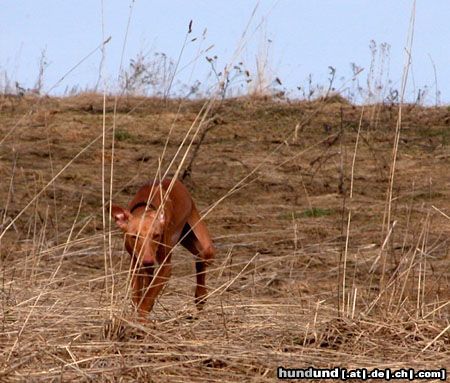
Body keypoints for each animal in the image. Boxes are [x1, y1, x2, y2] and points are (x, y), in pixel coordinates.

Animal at [110, 179, 214, 318]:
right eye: (134, 236)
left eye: (156, 235)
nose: (148, 261)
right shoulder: (136, 263)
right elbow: (138, 294)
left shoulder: (165, 267)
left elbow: (149, 295)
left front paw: (141, 317)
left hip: (204, 245)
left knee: (201, 258)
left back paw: (200, 296)